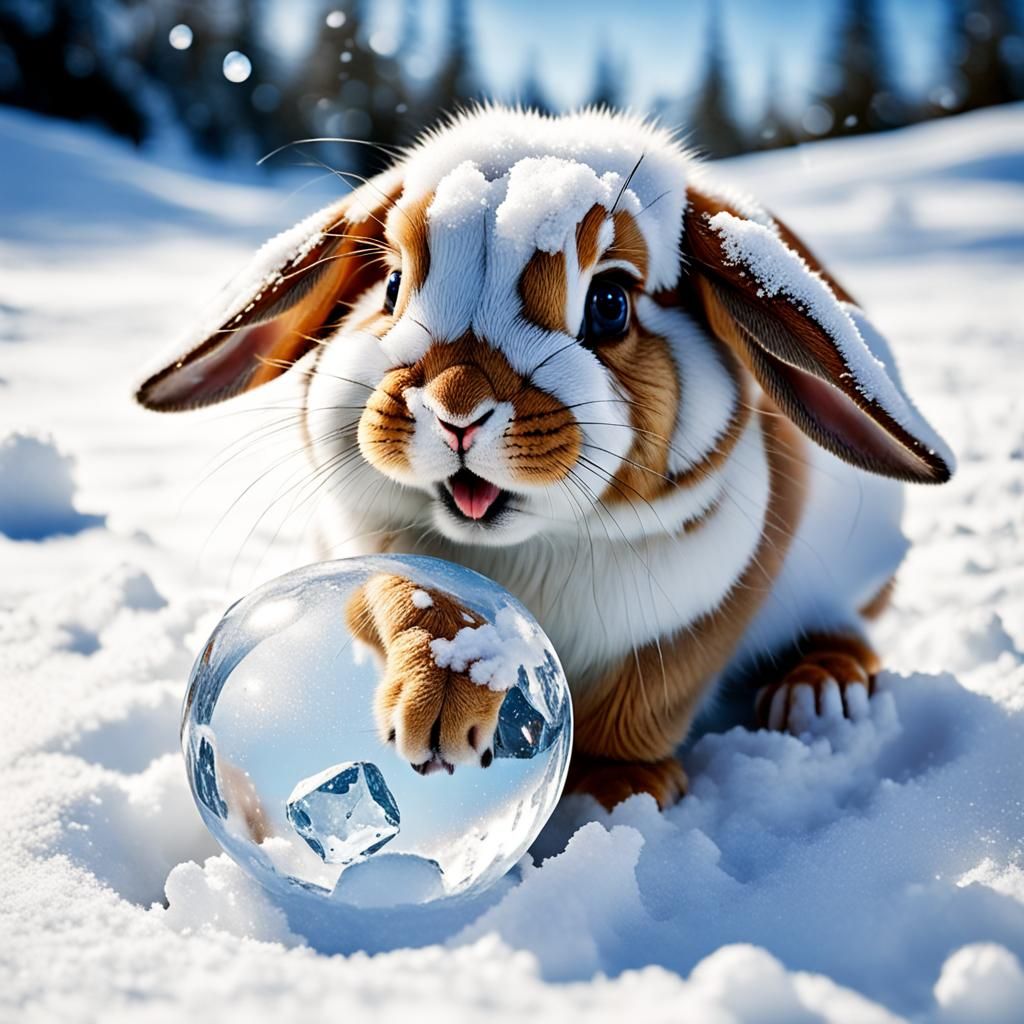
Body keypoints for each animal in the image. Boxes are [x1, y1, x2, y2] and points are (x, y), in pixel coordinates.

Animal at [137, 106, 953, 810]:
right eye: (392, 286)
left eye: (611, 304)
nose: (457, 410)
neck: (536, 545)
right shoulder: (366, 555)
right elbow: (406, 604)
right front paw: (435, 710)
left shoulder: (707, 610)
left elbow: (644, 704)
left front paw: (616, 791)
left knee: (847, 629)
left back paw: (818, 690)